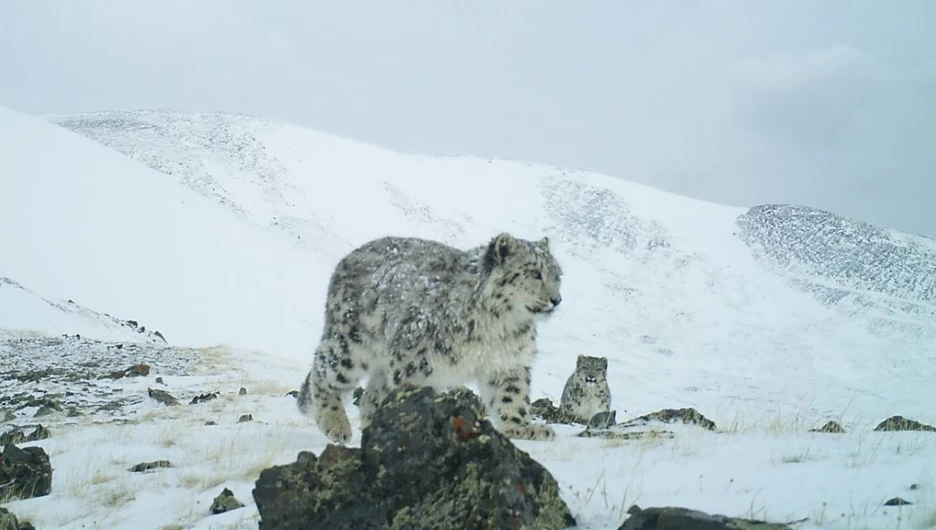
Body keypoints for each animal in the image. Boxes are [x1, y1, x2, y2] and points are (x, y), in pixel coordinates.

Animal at [298, 231, 564, 442]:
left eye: (558, 276)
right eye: (535, 273)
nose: (557, 300)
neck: (501, 326)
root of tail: (345, 260)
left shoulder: (509, 362)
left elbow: (512, 396)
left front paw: (522, 428)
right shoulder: (413, 362)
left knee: (371, 396)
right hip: (351, 345)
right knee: (324, 369)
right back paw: (336, 425)